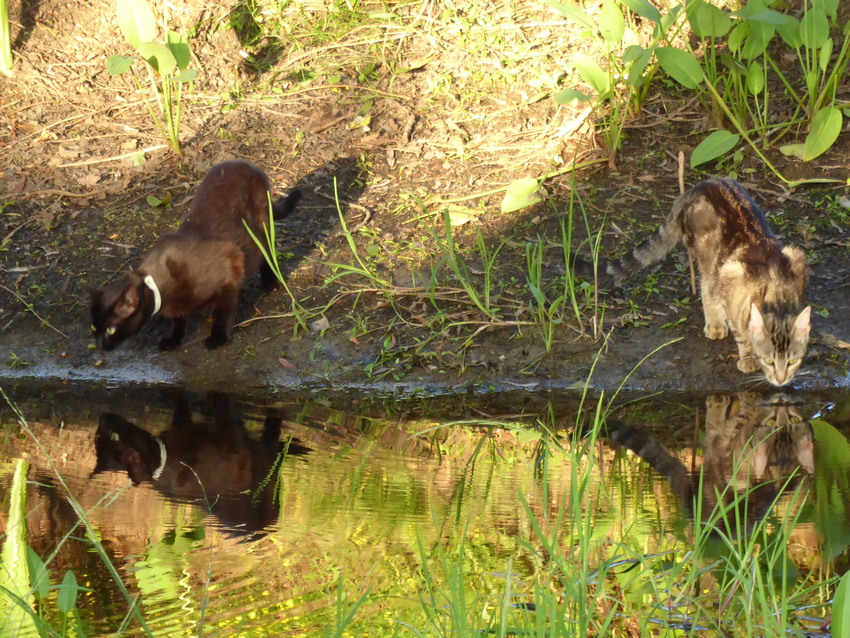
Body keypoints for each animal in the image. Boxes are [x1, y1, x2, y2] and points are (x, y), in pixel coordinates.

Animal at [89, 159, 300, 350]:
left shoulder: (229, 274)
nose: (99, 346)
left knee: (267, 255)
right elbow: (178, 320)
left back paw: (271, 283)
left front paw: (217, 339)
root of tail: (245, 163)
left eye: (111, 330)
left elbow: (221, 314)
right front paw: (173, 339)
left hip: (261, 230)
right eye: (94, 328)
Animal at [576, 178, 808, 388]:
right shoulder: (731, 279)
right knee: (707, 289)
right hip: (708, 260)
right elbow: (741, 334)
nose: (781, 379)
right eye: (769, 360)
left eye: (793, 361)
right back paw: (715, 325)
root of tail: (701, 185)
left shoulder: (796, 259)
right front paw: (748, 358)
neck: (776, 296)